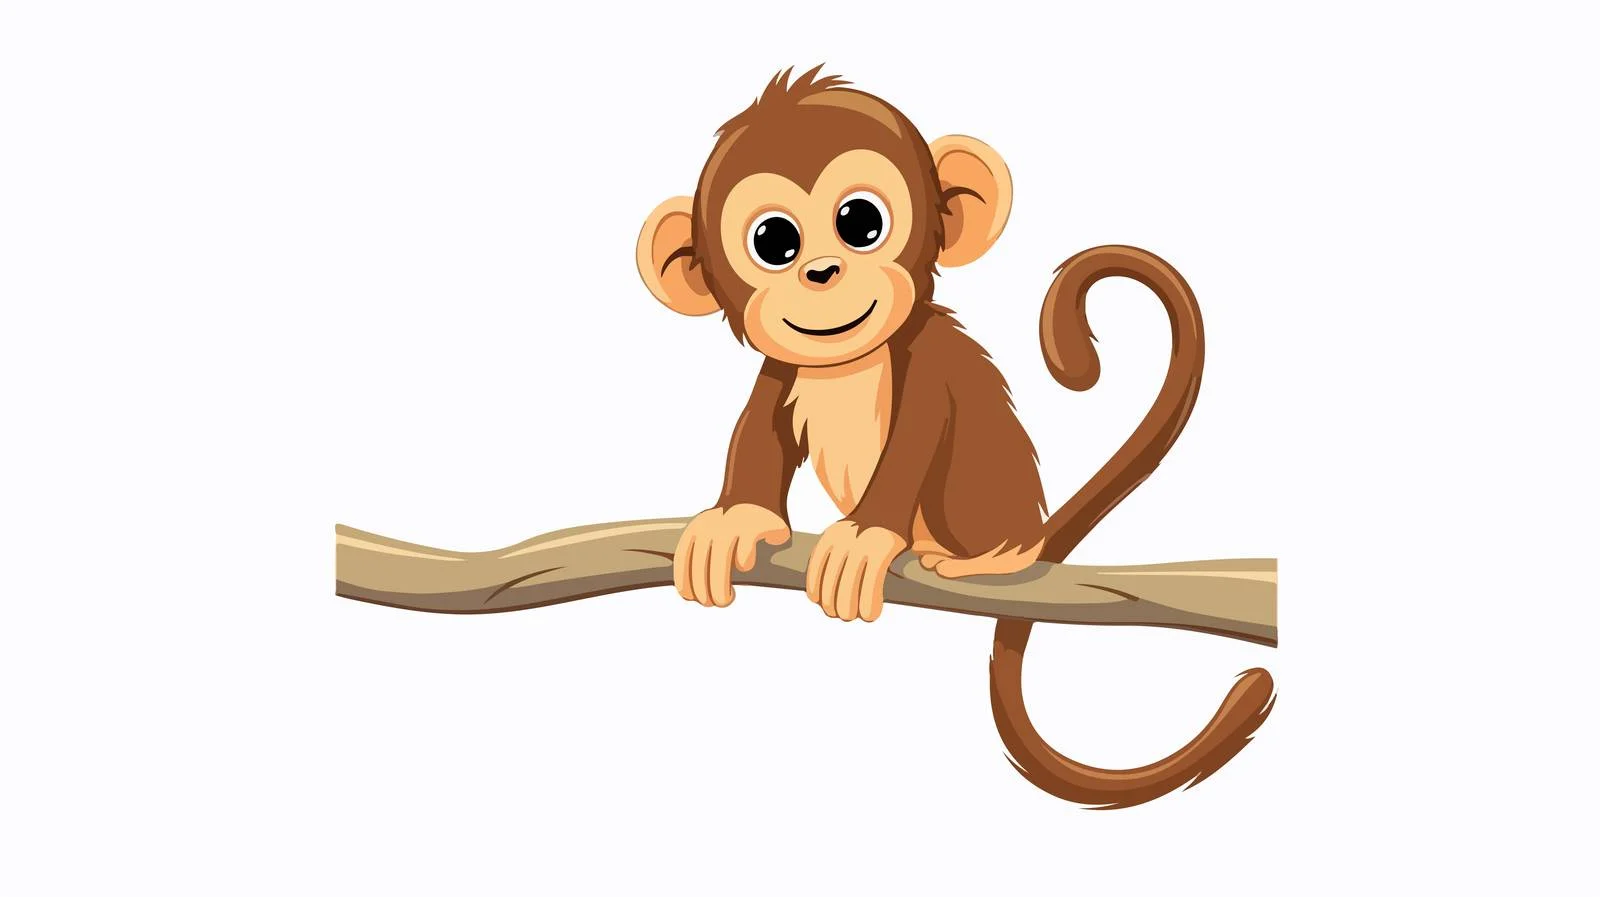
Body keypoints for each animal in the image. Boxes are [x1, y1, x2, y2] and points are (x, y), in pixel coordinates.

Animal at [635, 67, 1273, 808]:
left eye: (860, 222)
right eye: (774, 240)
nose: (821, 272)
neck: (850, 364)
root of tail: (1033, 533)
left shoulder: (928, 362)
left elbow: (919, 437)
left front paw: (865, 538)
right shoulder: (782, 370)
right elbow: (758, 436)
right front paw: (738, 521)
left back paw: (986, 560)